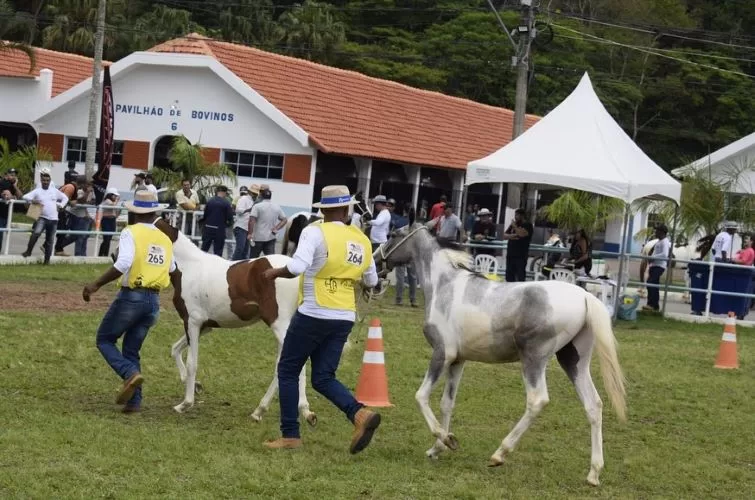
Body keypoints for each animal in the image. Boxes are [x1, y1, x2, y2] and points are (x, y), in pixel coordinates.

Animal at [155, 220, 318, 426]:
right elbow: (175, 349)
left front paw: (185, 404)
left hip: (280, 325)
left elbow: (192, 362)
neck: (189, 268)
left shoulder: (192, 322)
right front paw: (196, 386)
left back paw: (303, 411)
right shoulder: (205, 326)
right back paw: (261, 411)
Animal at [376, 225, 628, 486]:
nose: (376, 261)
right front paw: (437, 448)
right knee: (593, 405)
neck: (445, 286)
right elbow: (447, 403)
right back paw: (594, 473)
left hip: (533, 359)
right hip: (574, 361)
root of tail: (586, 297)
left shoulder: (442, 354)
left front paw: (447, 440)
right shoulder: (458, 360)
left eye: (392, 234)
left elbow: (421, 396)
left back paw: (499, 454)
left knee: (537, 400)